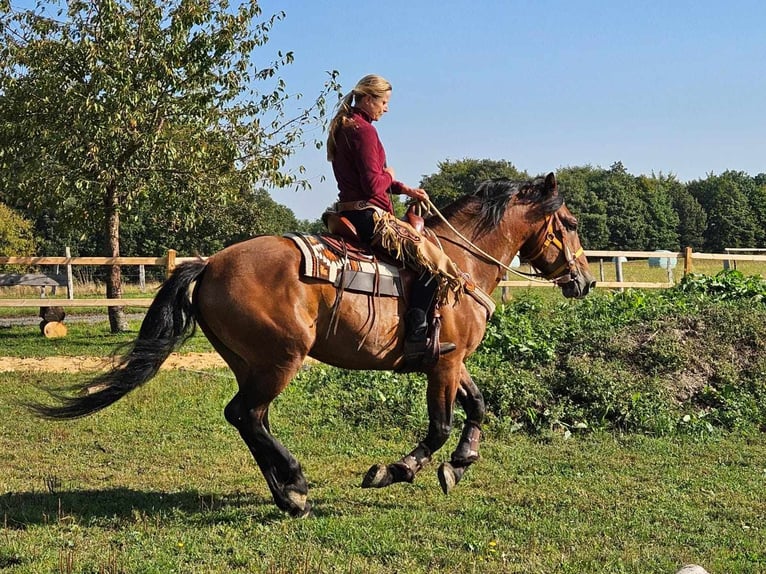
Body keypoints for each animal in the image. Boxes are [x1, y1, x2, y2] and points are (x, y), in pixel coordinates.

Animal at [33, 171, 596, 516]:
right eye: (569, 223)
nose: (586, 280)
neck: (458, 266)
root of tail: (210, 264)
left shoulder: (450, 361)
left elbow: (477, 407)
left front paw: (461, 462)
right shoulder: (445, 363)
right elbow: (438, 427)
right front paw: (396, 470)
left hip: (252, 362)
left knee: (249, 419)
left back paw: (288, 492)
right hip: (280, 358)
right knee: (246, 415)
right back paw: (296, 487)